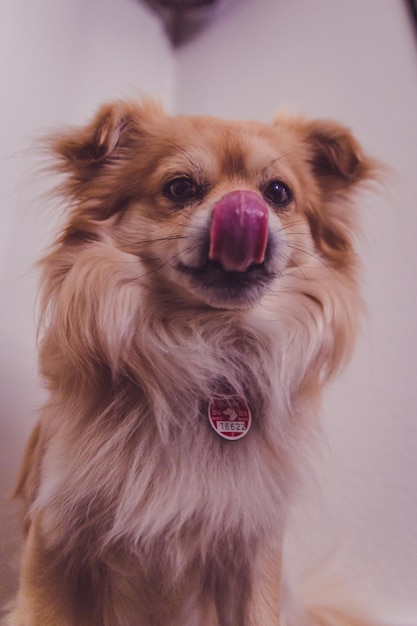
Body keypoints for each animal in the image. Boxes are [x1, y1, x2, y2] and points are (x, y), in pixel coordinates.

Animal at [5, 100, 376, 620]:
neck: (206, 341)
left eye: (278, 192)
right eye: (180, 188)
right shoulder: (56, 536)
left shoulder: (251, 550)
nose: (244, 208)